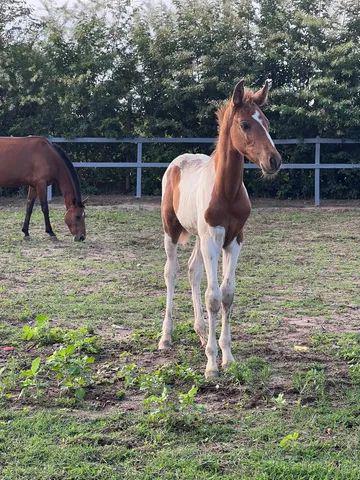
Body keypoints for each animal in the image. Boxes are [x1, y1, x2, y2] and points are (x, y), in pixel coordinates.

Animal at [160, 79, 282, 378]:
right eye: (245, 124)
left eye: (267, 122)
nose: (274, 161)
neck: (226, 191)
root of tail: (178, 161)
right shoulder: (212, 240)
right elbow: (213, 297)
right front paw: (212, 364)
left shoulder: (234, 239)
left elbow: (227, 295)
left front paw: (227, 356)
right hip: (173, 230)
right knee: (172, 272)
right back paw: (166, 337)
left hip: (198, 236)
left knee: (192, 271)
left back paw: (202, 332)